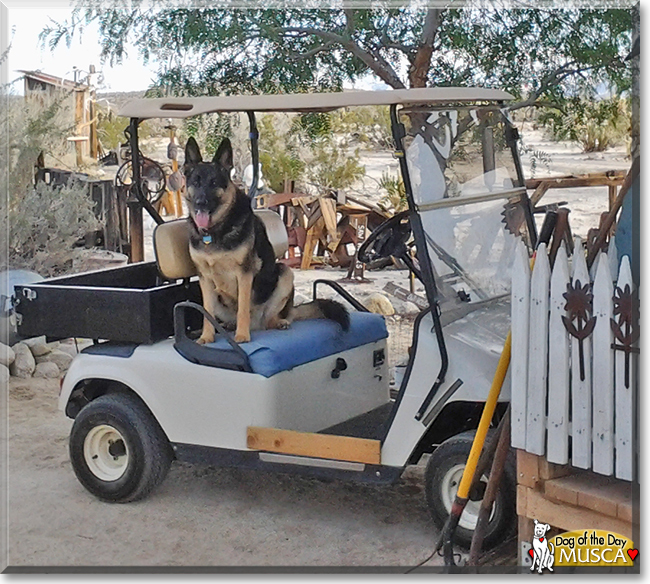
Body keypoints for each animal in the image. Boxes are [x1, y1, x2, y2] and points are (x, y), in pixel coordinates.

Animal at [182, 137, 346, 344]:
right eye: (196, 182)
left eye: (214, 183)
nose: (200, 203)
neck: (215, 230)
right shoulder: (204, 278)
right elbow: (207, 313)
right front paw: (206, 337)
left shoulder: (244, 274)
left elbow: (243, 308)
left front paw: (242, 336)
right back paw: (229, 326)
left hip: (285, 274)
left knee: (269, 319)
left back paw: (275, 323)